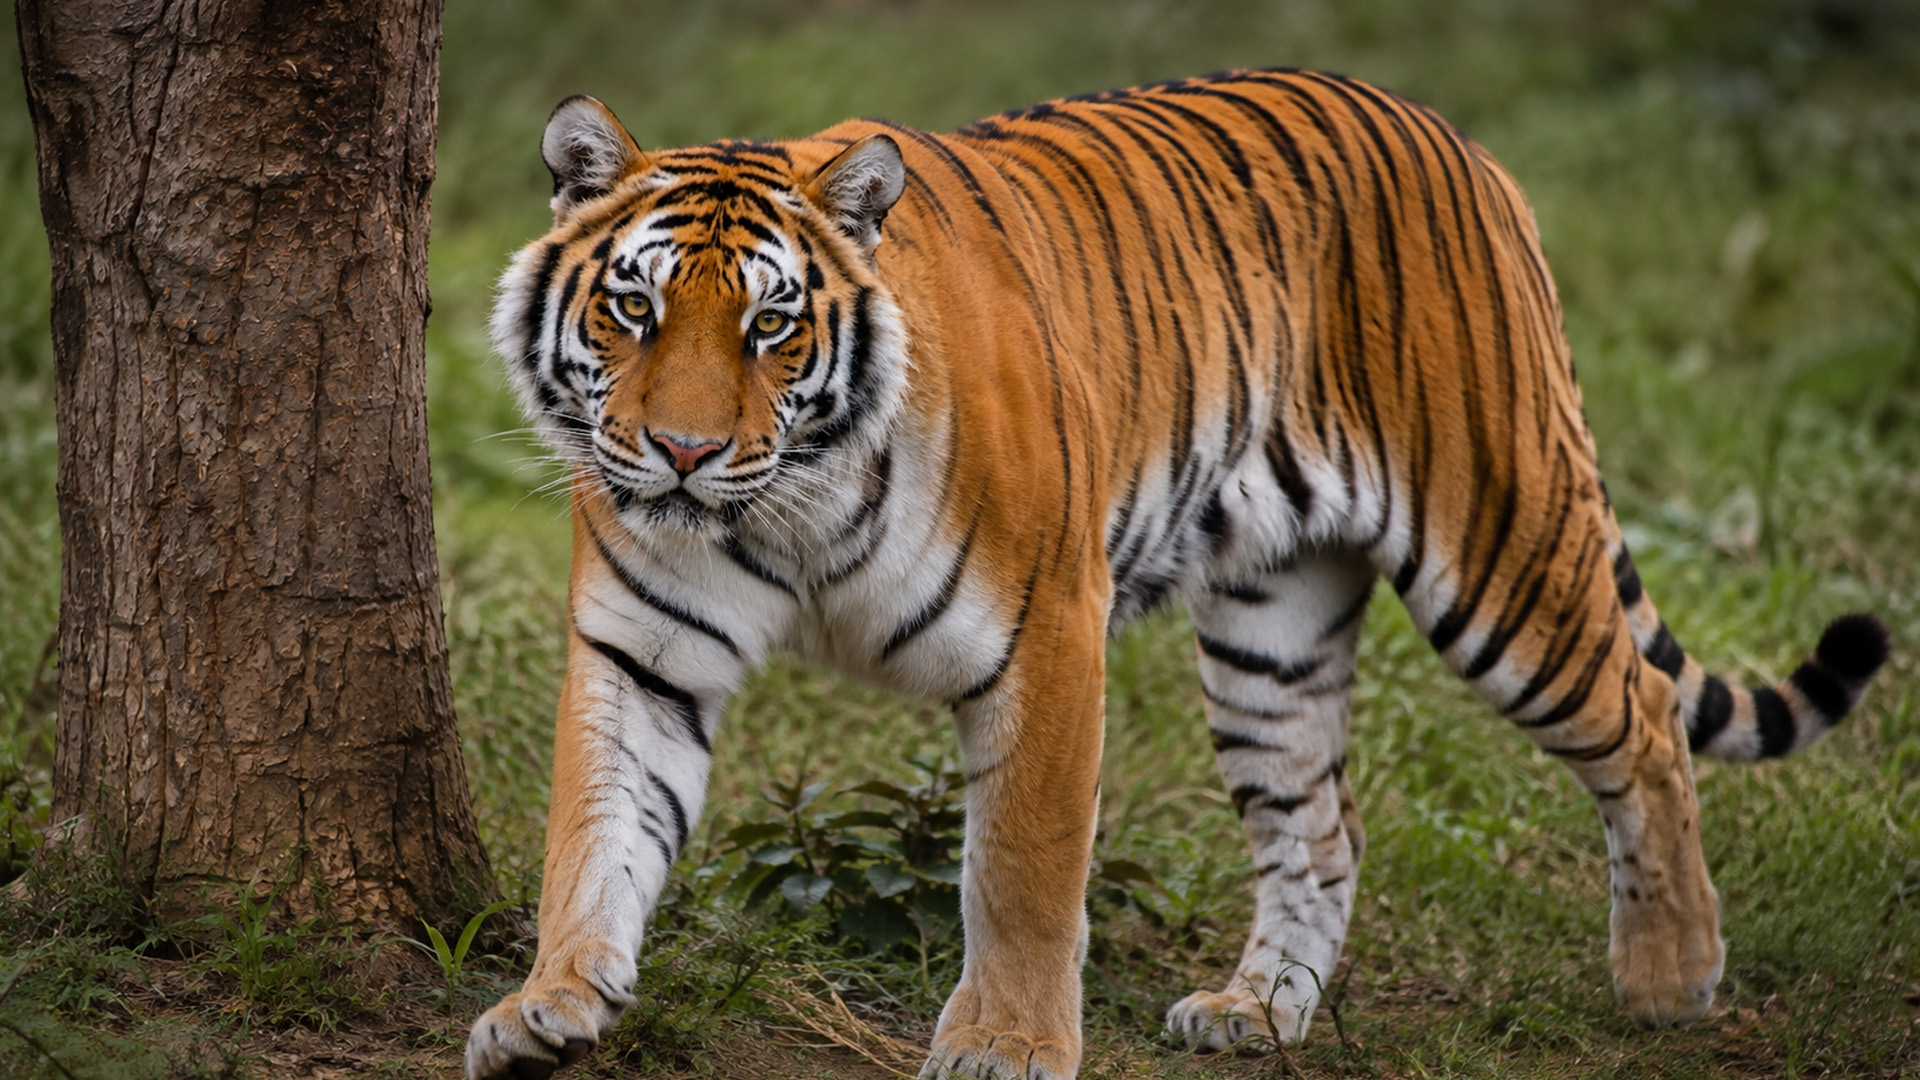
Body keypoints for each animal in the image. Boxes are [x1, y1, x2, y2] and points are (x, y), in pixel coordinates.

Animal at [463, 70, 1889, 1080]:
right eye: (635, 309)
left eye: (771, 324)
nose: (684, 453)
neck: (788, 507)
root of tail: (1456, 138)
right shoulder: (640, 650)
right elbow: (593, 833)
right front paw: (549, 1006)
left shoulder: (1048, 629)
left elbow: (1024, 868)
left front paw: (1006, 1047)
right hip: (1275, 623)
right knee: (1323, 822)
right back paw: (1257, 1012)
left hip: (1505, 546)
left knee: (1641, 720)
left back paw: (1670, 980)